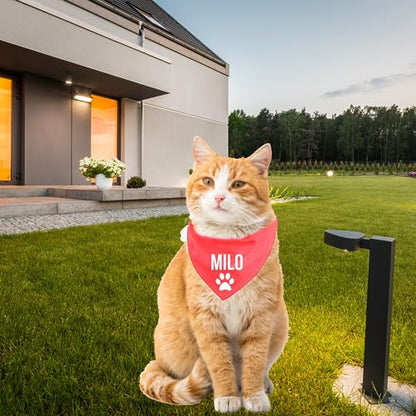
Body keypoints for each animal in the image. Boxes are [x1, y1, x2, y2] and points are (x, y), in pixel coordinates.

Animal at [140, 136, 290, 412]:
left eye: (238, 184)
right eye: (208, 181)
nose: (219, 197)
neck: (228, 250)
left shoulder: (261, 314)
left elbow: (254, 360)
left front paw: (253, 395)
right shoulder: (206, 317)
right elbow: (218, 361)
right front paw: (228, 396)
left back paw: (264, 383)